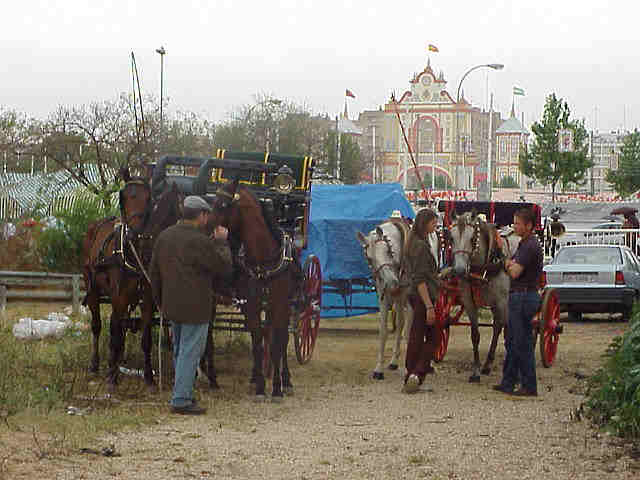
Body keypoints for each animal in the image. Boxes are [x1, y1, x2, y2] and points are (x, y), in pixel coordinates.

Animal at [82, 170, 182, 391]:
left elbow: (145, 338)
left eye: (148, 198)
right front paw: (112, 376)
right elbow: (115, 333)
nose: (133, 234)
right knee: (98, 325)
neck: (132, 252)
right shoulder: (118, 296)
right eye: (124, 197)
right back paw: (96, 364)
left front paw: (149, 377)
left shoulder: (148, 298)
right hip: (93, 289)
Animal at [207, 179, 298, 401]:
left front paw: (277, 388)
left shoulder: (279, 303)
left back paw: (286, 380)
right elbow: (257, 342)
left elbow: (278, 344)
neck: (263, 260)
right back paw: (255, 378)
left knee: (282, 339)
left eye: (223, 205)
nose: (206, 227)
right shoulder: (253, 304)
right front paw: (259, 386)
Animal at [356, 218, 412, 380]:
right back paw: (393, 361)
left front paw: (409, 368)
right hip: (399, 299)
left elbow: (409, 331)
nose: (391, 282)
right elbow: (384, 331)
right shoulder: (385, 296)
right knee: (400, 323)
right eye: (370, 258)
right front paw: (379, 368)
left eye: (388, 250)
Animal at [444, 211, 519, 382]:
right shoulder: (469, 302)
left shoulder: (502, 302)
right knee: (500, 327)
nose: (459, 270)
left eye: (473, 238)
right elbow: (475, 335)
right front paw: (476, 370)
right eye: (451, 238)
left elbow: (505, 334)